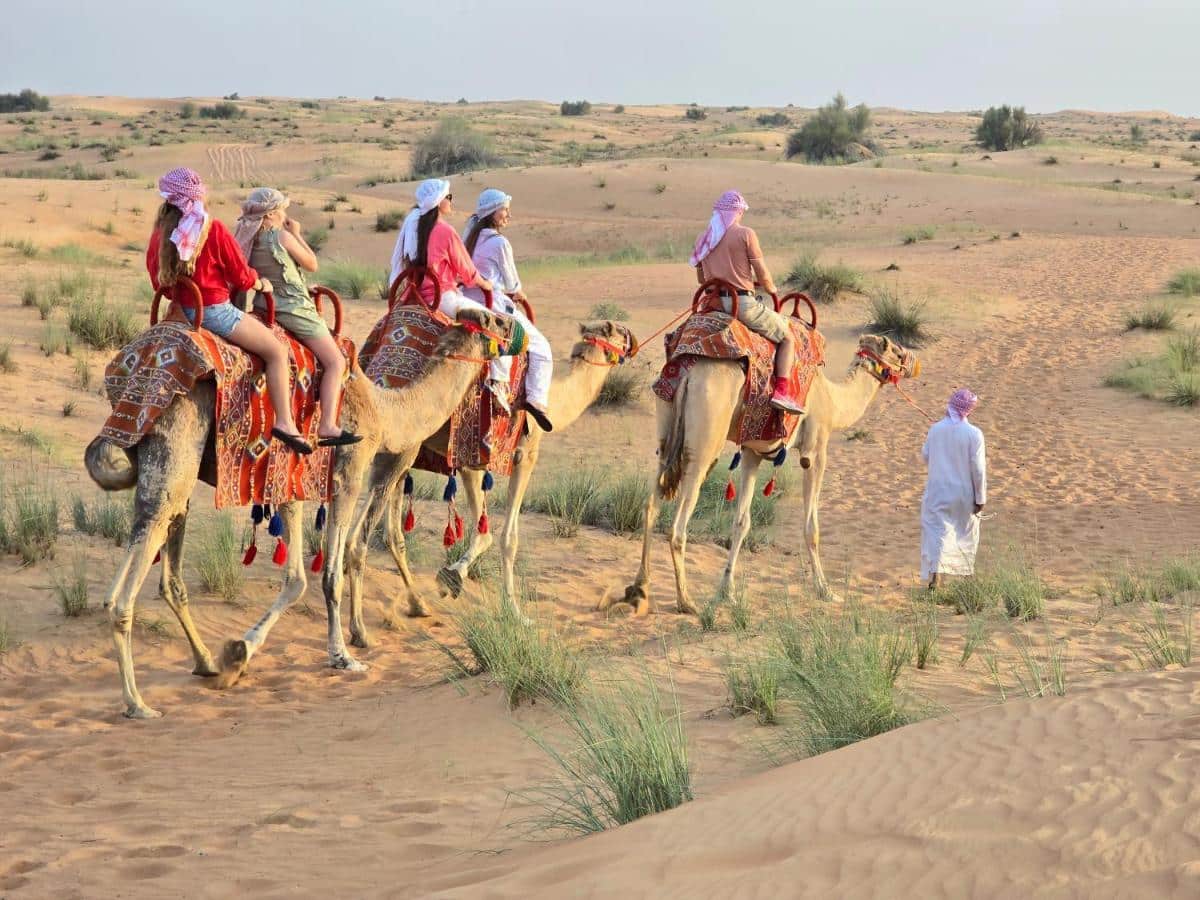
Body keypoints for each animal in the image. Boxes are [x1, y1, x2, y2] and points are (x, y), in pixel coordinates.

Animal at [83, 309, 516, 720]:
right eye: (495, 320)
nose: (513, 326)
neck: (383, 410)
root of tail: (132, 369)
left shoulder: (289, 480)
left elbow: (295, 578)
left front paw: (238, 652)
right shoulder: (349, 468)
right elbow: (329, 575)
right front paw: (341, 655)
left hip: (167, 463)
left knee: (159, 553)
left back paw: (205, 663)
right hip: (179, 441)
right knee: (133, 576)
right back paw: (137, 702)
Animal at [338, 321, 638, 643]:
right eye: (620, 331)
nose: (633, 342)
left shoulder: (471, 460)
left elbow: (483, 531)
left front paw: (451, 580)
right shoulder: (523, 454)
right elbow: (506, 538)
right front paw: (513, 611)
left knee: (390, 534)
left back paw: (415, 604)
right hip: (401, 446)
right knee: (362, 533)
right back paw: (358, 626)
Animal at [609, 336, 916, 619]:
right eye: (897, 350)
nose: (914, 363)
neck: (832, 399)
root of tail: (687, 375)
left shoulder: (751, 452)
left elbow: (741, 522)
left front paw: (727, 592)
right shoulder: (816, 450)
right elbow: (811, 528)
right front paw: (826, 590)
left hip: (666, 429)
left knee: (652, 504)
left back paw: (639, 588)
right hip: (705, 440)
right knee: (678, 526)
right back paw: (687, 602)